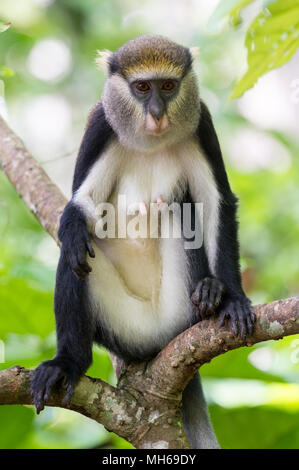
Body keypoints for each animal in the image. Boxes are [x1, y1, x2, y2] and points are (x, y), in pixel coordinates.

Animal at [31, 34, 255, 448]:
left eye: (167, 86)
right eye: (141, 88)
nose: (156, 113)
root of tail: (155, 343)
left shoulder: (201, 123)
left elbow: (216, 203)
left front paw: (232, 297)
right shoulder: (101, 126)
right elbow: (81, 207)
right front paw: (74, 230)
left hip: (176, 312)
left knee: (179, 207)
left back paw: (211, 293)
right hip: (124, 329)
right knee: (74, 258)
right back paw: (68, 363)